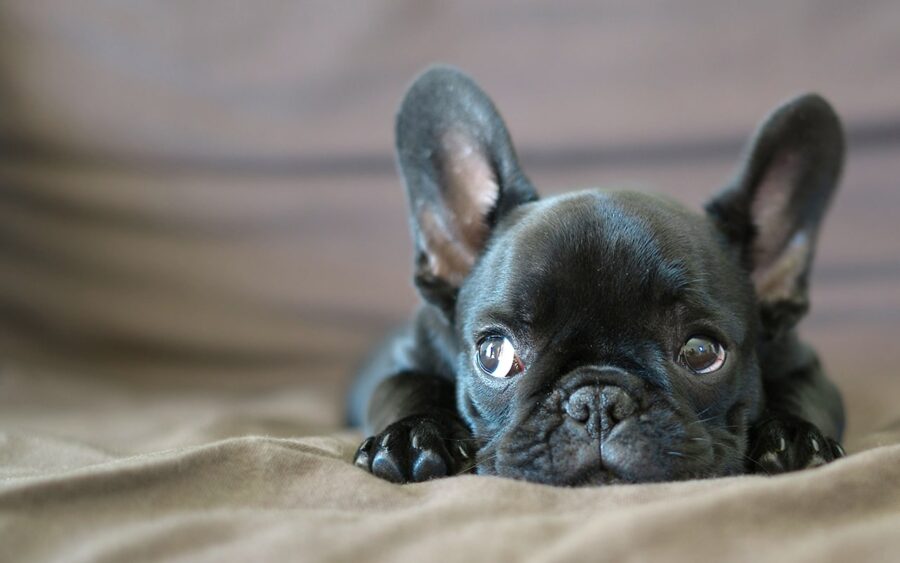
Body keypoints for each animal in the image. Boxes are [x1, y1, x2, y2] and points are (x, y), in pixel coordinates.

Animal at [348, 66, 848, 486]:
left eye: (702, 352)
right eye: (494, 355)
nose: (599, 401)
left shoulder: (805, 365)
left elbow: (804, 392)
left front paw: (792, 437)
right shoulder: (407, 358)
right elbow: (405, 387)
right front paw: (413, 438)